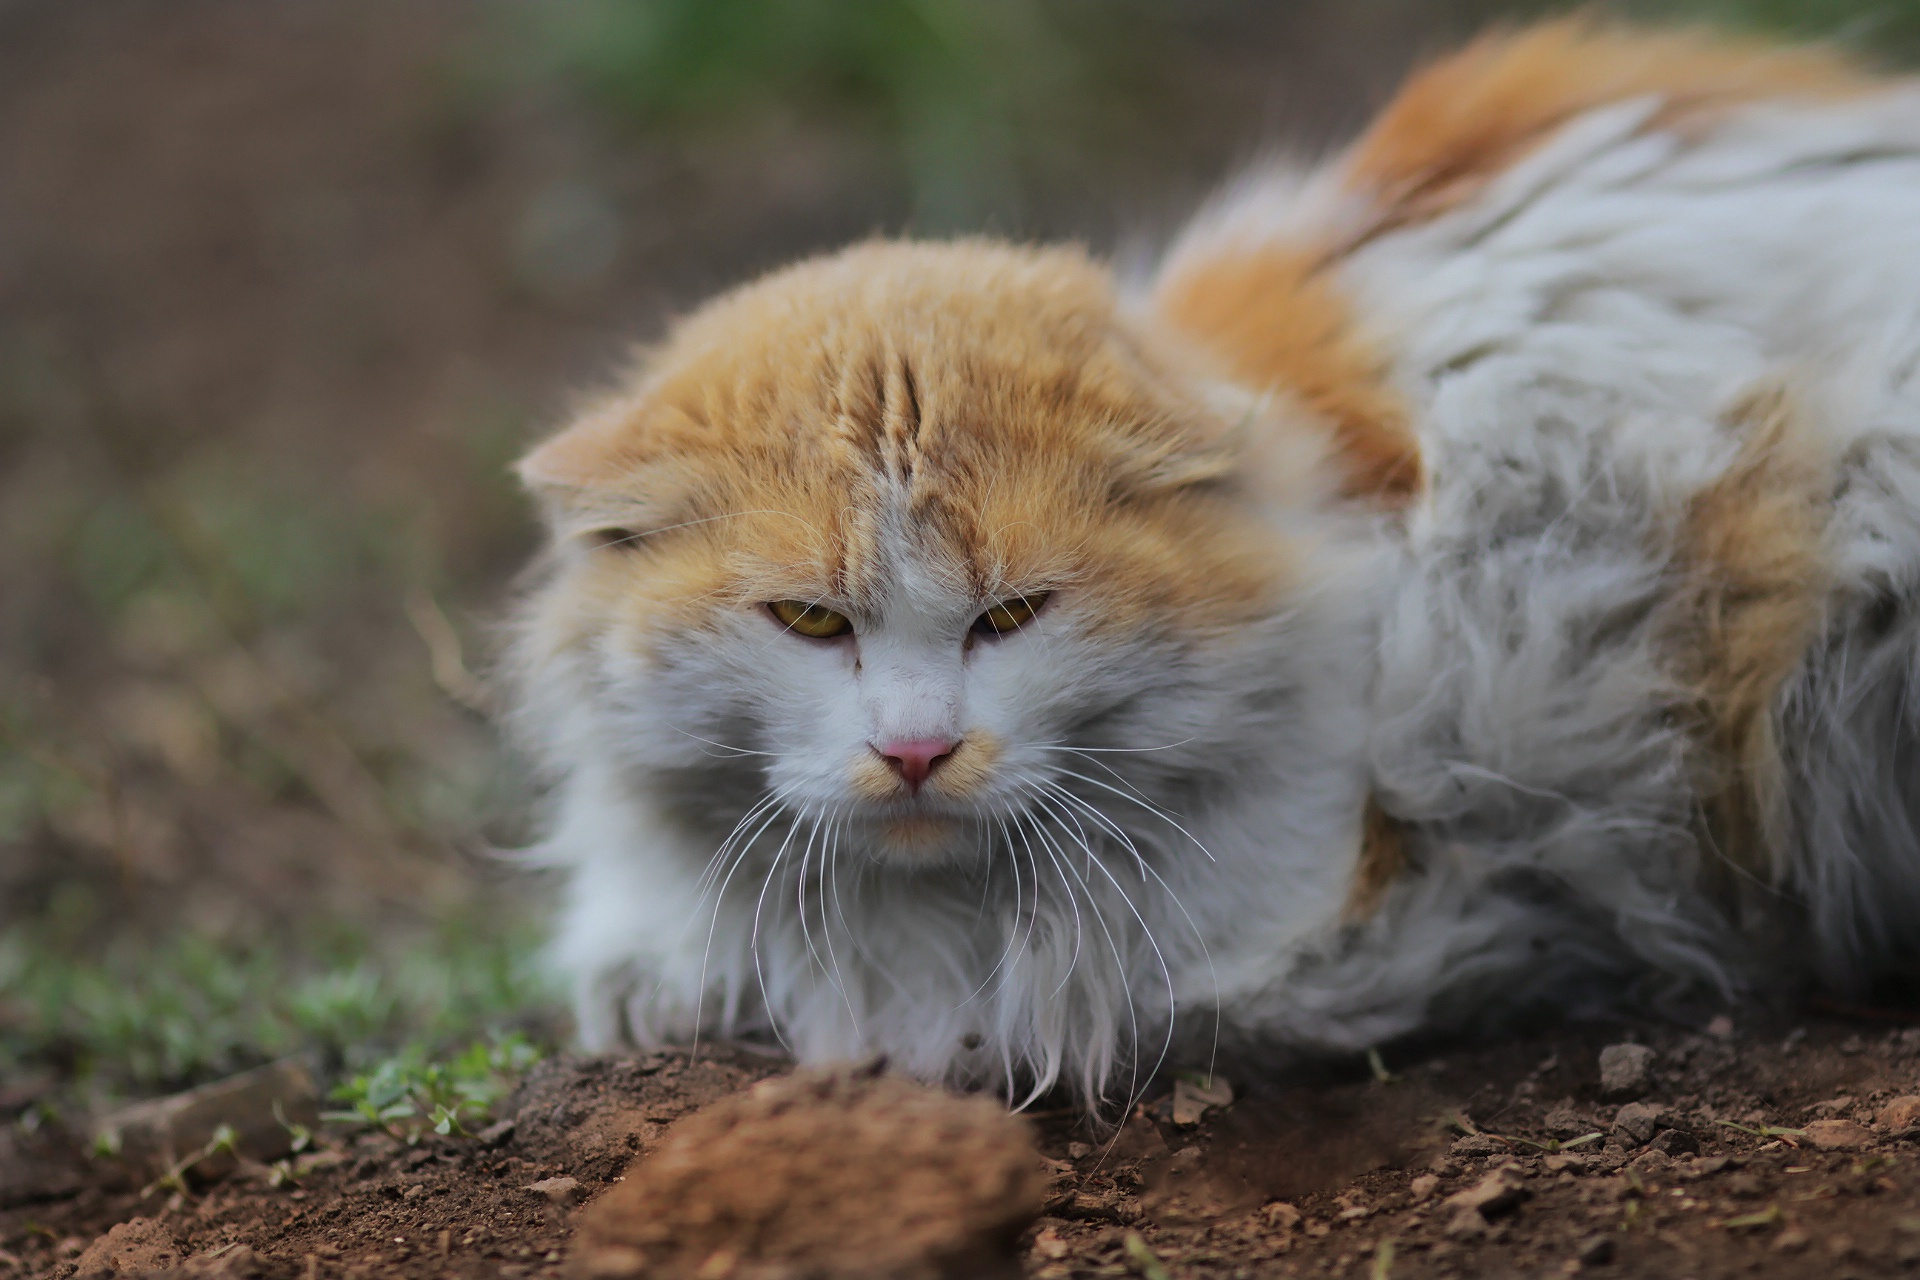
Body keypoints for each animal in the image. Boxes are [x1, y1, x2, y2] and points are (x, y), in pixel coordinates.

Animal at [506, 20, 1920, 1113]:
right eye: (808, 619)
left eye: (1014, 615)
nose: (915, 751)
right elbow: (652, 965)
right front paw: (669, 985)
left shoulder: (1309, 925)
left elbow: (1023, 1016)